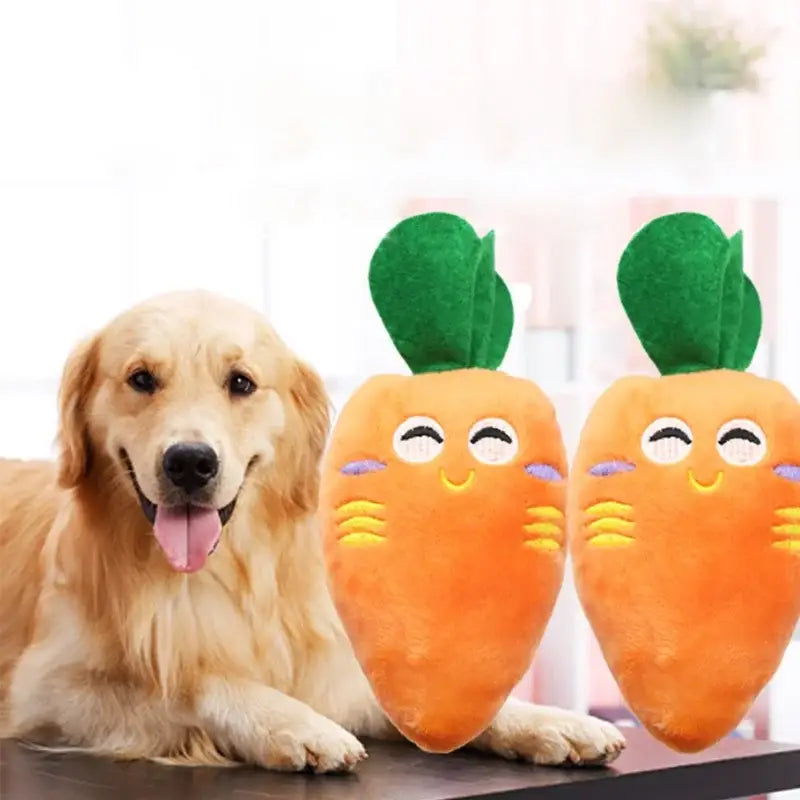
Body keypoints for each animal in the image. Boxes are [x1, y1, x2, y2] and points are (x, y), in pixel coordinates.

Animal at [0, 292, 624, 768]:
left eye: (241, 383)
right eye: (141, 379)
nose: (190, 463)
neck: (219, 575)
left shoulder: (337, 673)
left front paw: (552, 722)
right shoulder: (44, 691)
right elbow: (194, 681)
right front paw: (296, 725)